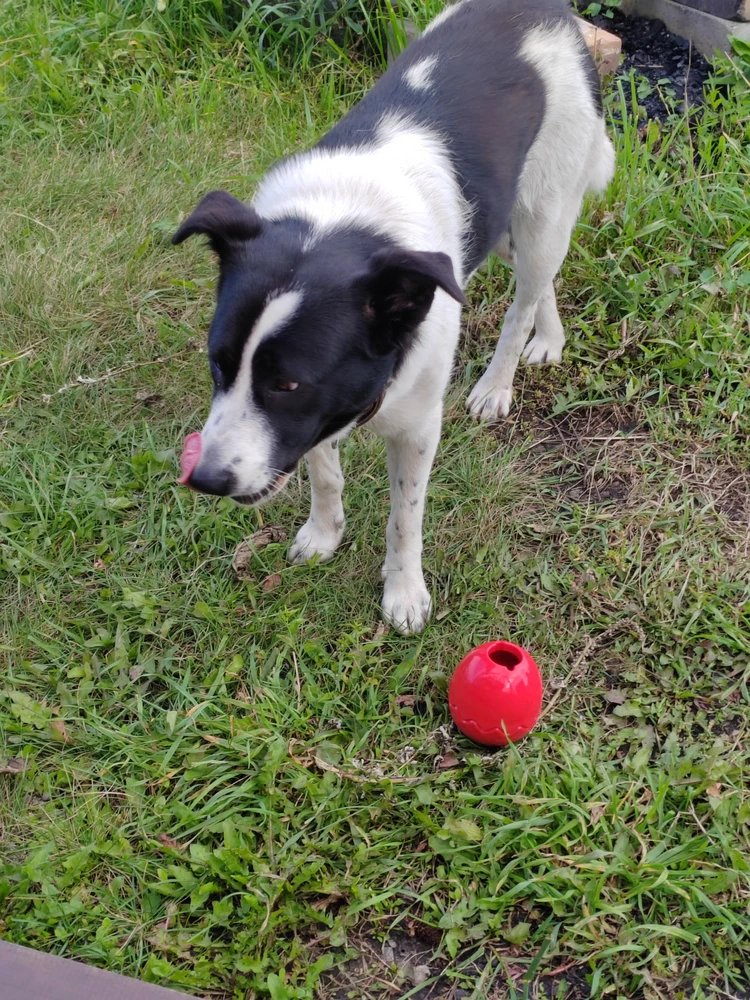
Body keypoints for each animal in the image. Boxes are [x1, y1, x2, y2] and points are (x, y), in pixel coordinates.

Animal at [175, 0, 616, 632]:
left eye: (287, 384)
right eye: (218, 365)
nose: (205, 480)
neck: (346, 218)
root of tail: (544, 10)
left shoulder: (414, 427)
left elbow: (405, 517)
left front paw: (404, 592)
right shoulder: (323, 414)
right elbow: (325, 471)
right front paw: (324, 533)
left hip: (542, 209)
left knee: (525, 296)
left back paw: (498, 384)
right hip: (499, 223)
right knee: (539, 279)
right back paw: (550, 338)